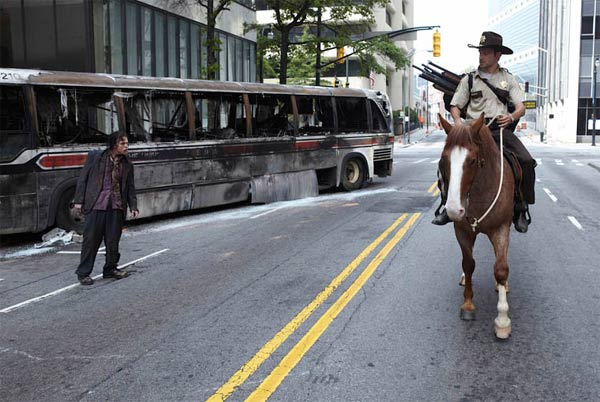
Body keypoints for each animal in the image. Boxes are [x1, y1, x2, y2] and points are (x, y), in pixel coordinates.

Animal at [438, 113, 512, 340]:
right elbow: (468, 264)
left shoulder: (501, 228)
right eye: (443, 161)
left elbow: (500, 269)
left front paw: (503, 319)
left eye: (471, 161)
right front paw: (468, 304)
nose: (454, 209)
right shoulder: (462, 231)